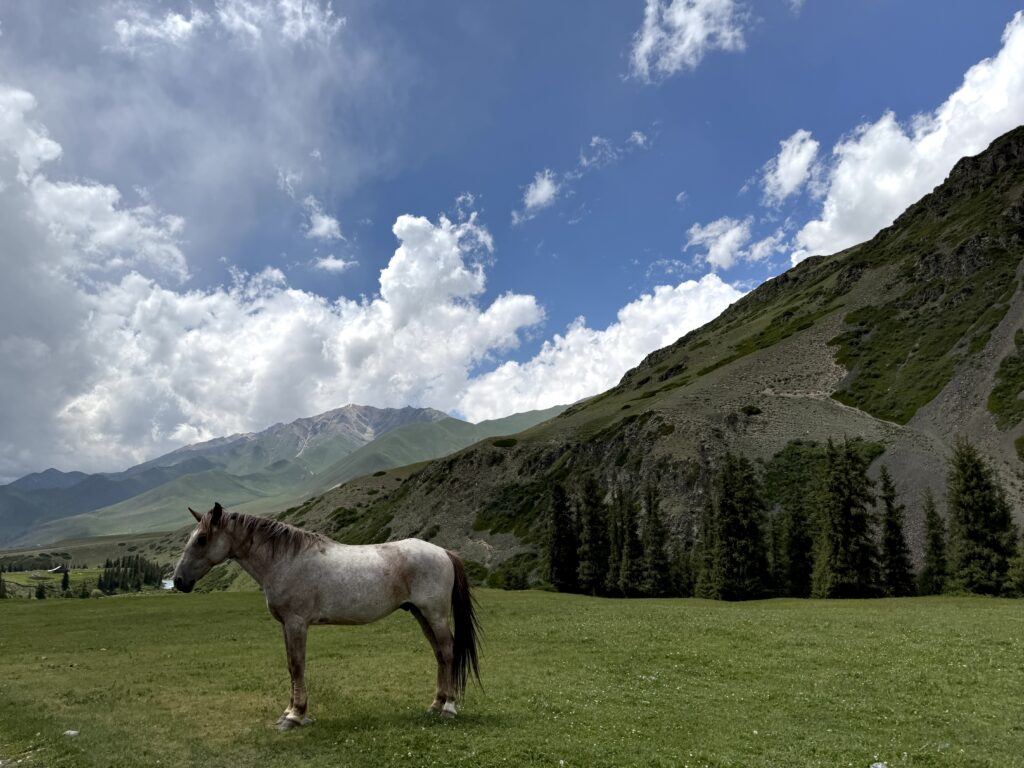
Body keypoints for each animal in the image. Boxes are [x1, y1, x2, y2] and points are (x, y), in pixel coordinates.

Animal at [171, 501, 479, 729]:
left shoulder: (297, 624)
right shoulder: (286, 626)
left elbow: (297, 665)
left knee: (448, 652)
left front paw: (296, 716)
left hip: (435, 615)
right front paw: (288, 712)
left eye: (201, 539)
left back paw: (449, 707)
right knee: (440, 655)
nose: (178, 581)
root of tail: (444, 552)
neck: (286, 560)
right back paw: (436, 704)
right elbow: (290, 666)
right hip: (420, 615)